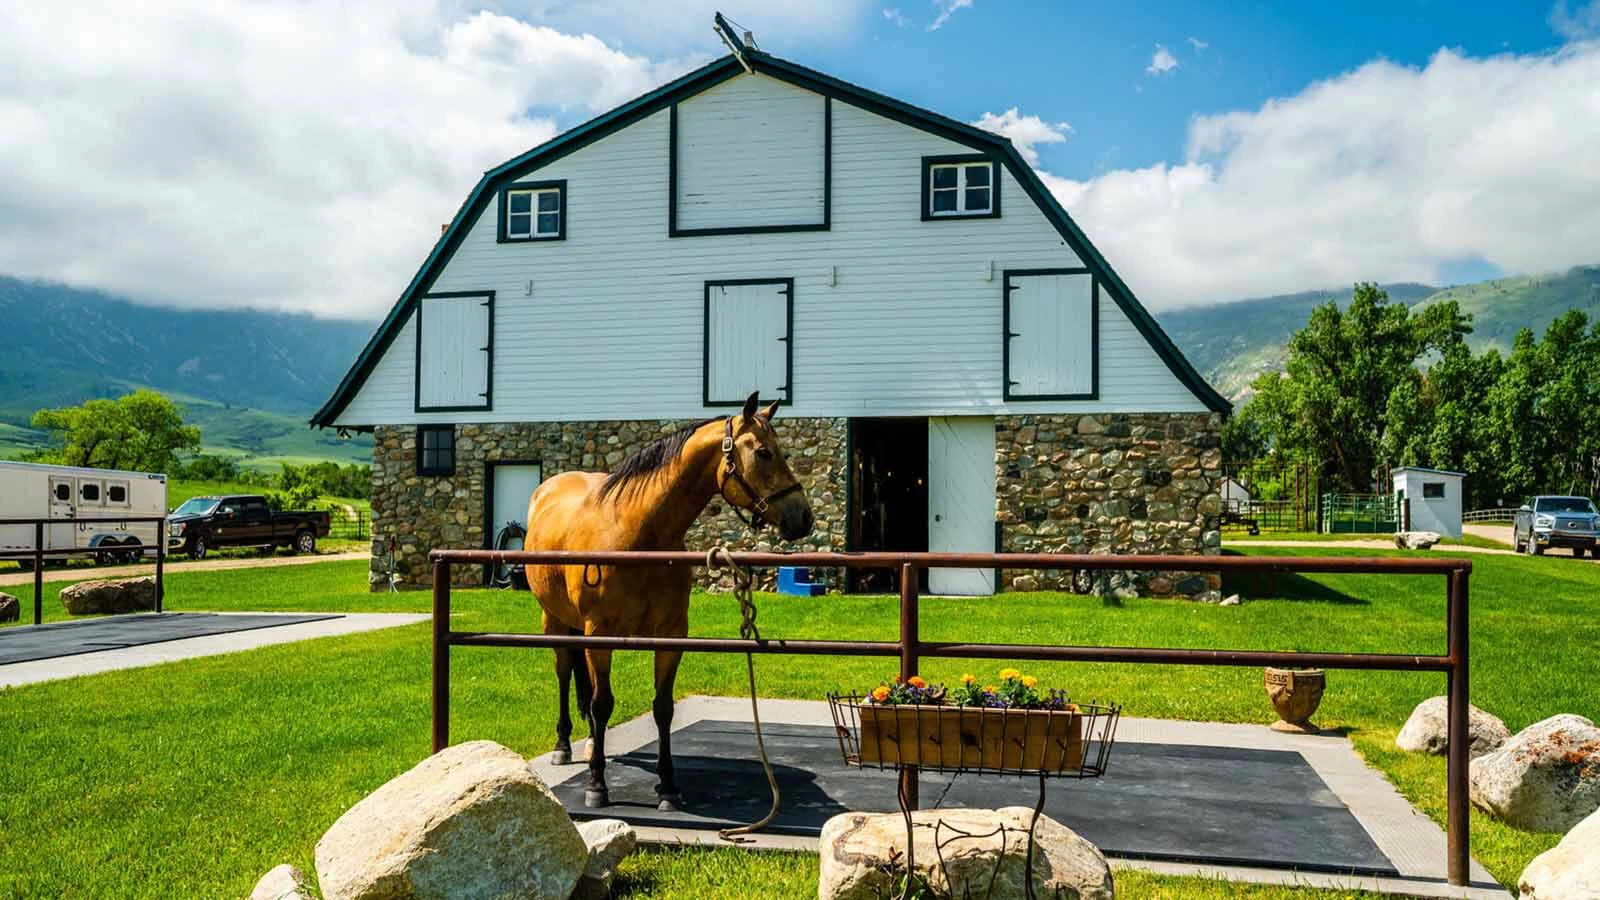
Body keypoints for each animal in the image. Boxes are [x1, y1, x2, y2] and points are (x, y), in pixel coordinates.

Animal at [523, 391, 814, 809]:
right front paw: (597, 785)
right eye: (763, 452)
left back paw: (593, 744)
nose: (802, 517)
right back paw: (564, 746)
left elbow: (662, 707)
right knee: (565, 675)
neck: (638, 534)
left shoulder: (672, 634)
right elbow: (601, 703)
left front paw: (668, 786)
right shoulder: (600, 636)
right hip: (555, 622)